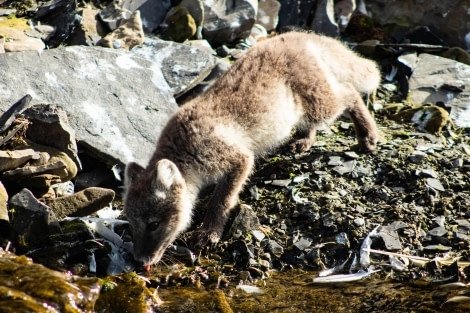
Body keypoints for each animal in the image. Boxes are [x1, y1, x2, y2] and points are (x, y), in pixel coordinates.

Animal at [123, 31, 380, 266]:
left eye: (154, 224)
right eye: (131, 225)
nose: (139, 261)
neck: (184, 149)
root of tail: (299, 34)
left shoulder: (238, 158)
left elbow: (221, 201)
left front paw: (209, 232)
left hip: (320, 103)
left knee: (350, 91)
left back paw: (368, 135)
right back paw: (303, 141)